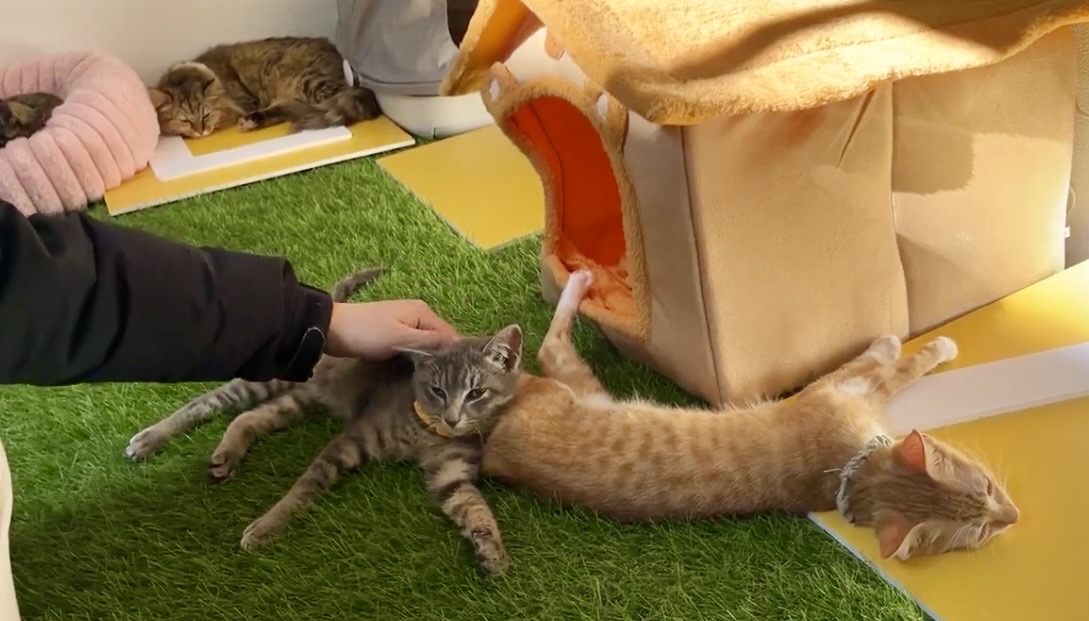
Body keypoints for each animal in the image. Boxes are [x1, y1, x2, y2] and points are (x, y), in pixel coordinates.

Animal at [124, 267, 520, 576]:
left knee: (250, 417)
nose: (452, 419)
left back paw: (226, 455)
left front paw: (491, 547)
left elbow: (471, 503)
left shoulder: (451, 471)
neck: (429, 434)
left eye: (476, 393)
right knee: (206, 401)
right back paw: (149, 438)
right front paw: (267, 526)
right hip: (270, 377)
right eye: (437, 391)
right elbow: (303, 487)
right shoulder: (353, 437)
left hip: (297, 400)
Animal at [147, 36, 380, 138]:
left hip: (311, 84)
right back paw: (252, 122)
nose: (200, 131)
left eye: (206, 115)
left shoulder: (241, 103)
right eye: (184, 120)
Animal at [480, 270, 1019, 562]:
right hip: (566, 380)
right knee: (549, 342)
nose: (1011, 518)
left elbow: (881, 371)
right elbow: (892, 367)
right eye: (986, 489)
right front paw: (918, 346)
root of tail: (489, 446)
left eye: (985, 522)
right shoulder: (826, 391)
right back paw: (577, 280)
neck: (845, 471)